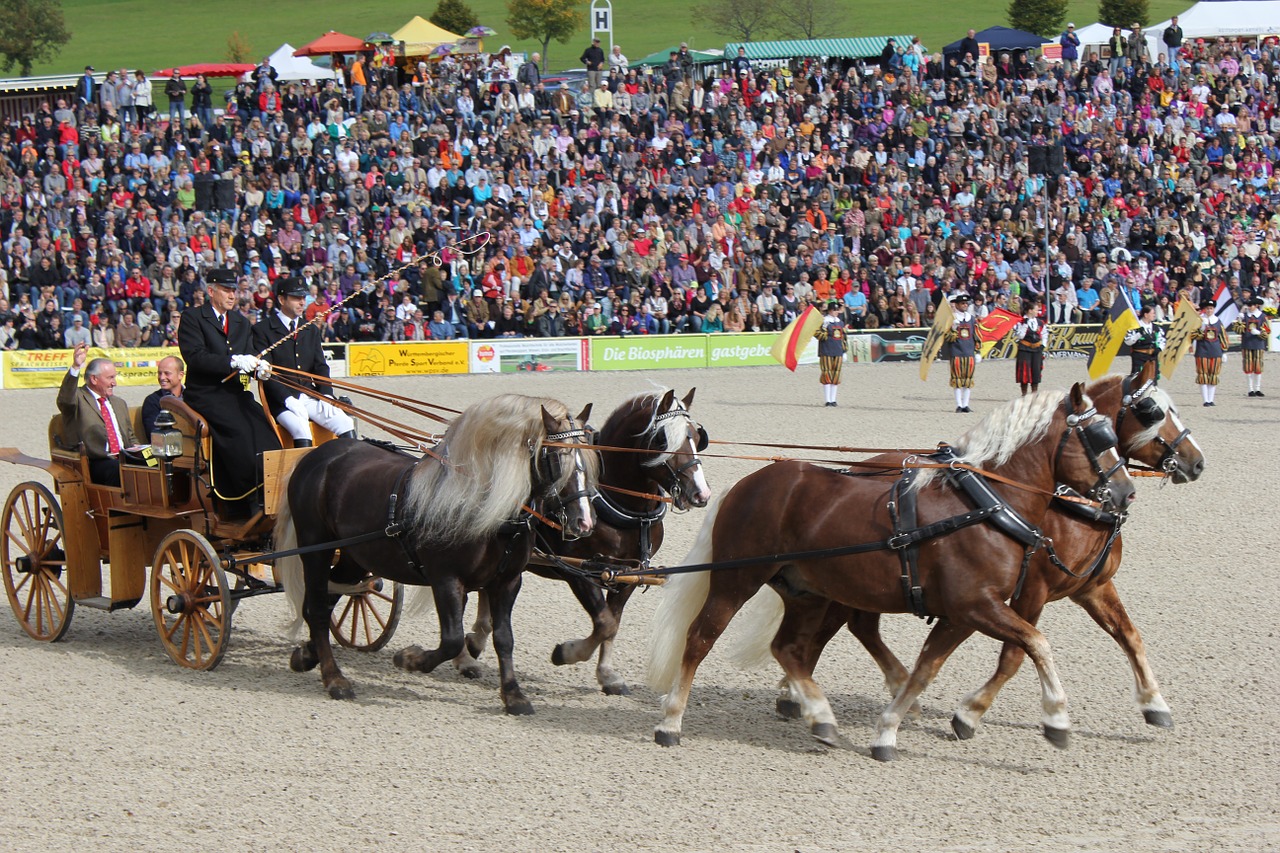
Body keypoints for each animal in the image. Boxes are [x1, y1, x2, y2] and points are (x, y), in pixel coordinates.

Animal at [277, 394, 596, 712]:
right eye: (558, 456)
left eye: (589, 458)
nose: (585, 522)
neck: (484, 507)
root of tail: (319, 456)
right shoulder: (446, 580)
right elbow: (452, 640)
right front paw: (409, 659)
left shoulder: (507, 582)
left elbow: (504, 638)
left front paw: (513, 695)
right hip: (315, 549)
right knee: (318, 607)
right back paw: (334, 678)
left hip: (355, 556)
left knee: (329, 598)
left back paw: (307, 655)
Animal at [448, 384, 711, 691]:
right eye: (662, 440)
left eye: (697, 436)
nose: (701, 493)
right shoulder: (579, 571)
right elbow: (604, 622)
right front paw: (566, 653)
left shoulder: (629, 574)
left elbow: (612, 624)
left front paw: (607, 673)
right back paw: (464, 657)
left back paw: (476, 639)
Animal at [737, 366, 1203, 758]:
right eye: (1151, 411)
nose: (1196, 462)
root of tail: (858, 466)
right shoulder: (1026, 592)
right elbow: (1014, 656)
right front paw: (972, 713)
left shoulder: (1091, 587)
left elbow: (1129, 636)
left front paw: (1154, 703)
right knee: (842, 629)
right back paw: (805, 694)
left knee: (854, 628)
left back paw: (809, 693)